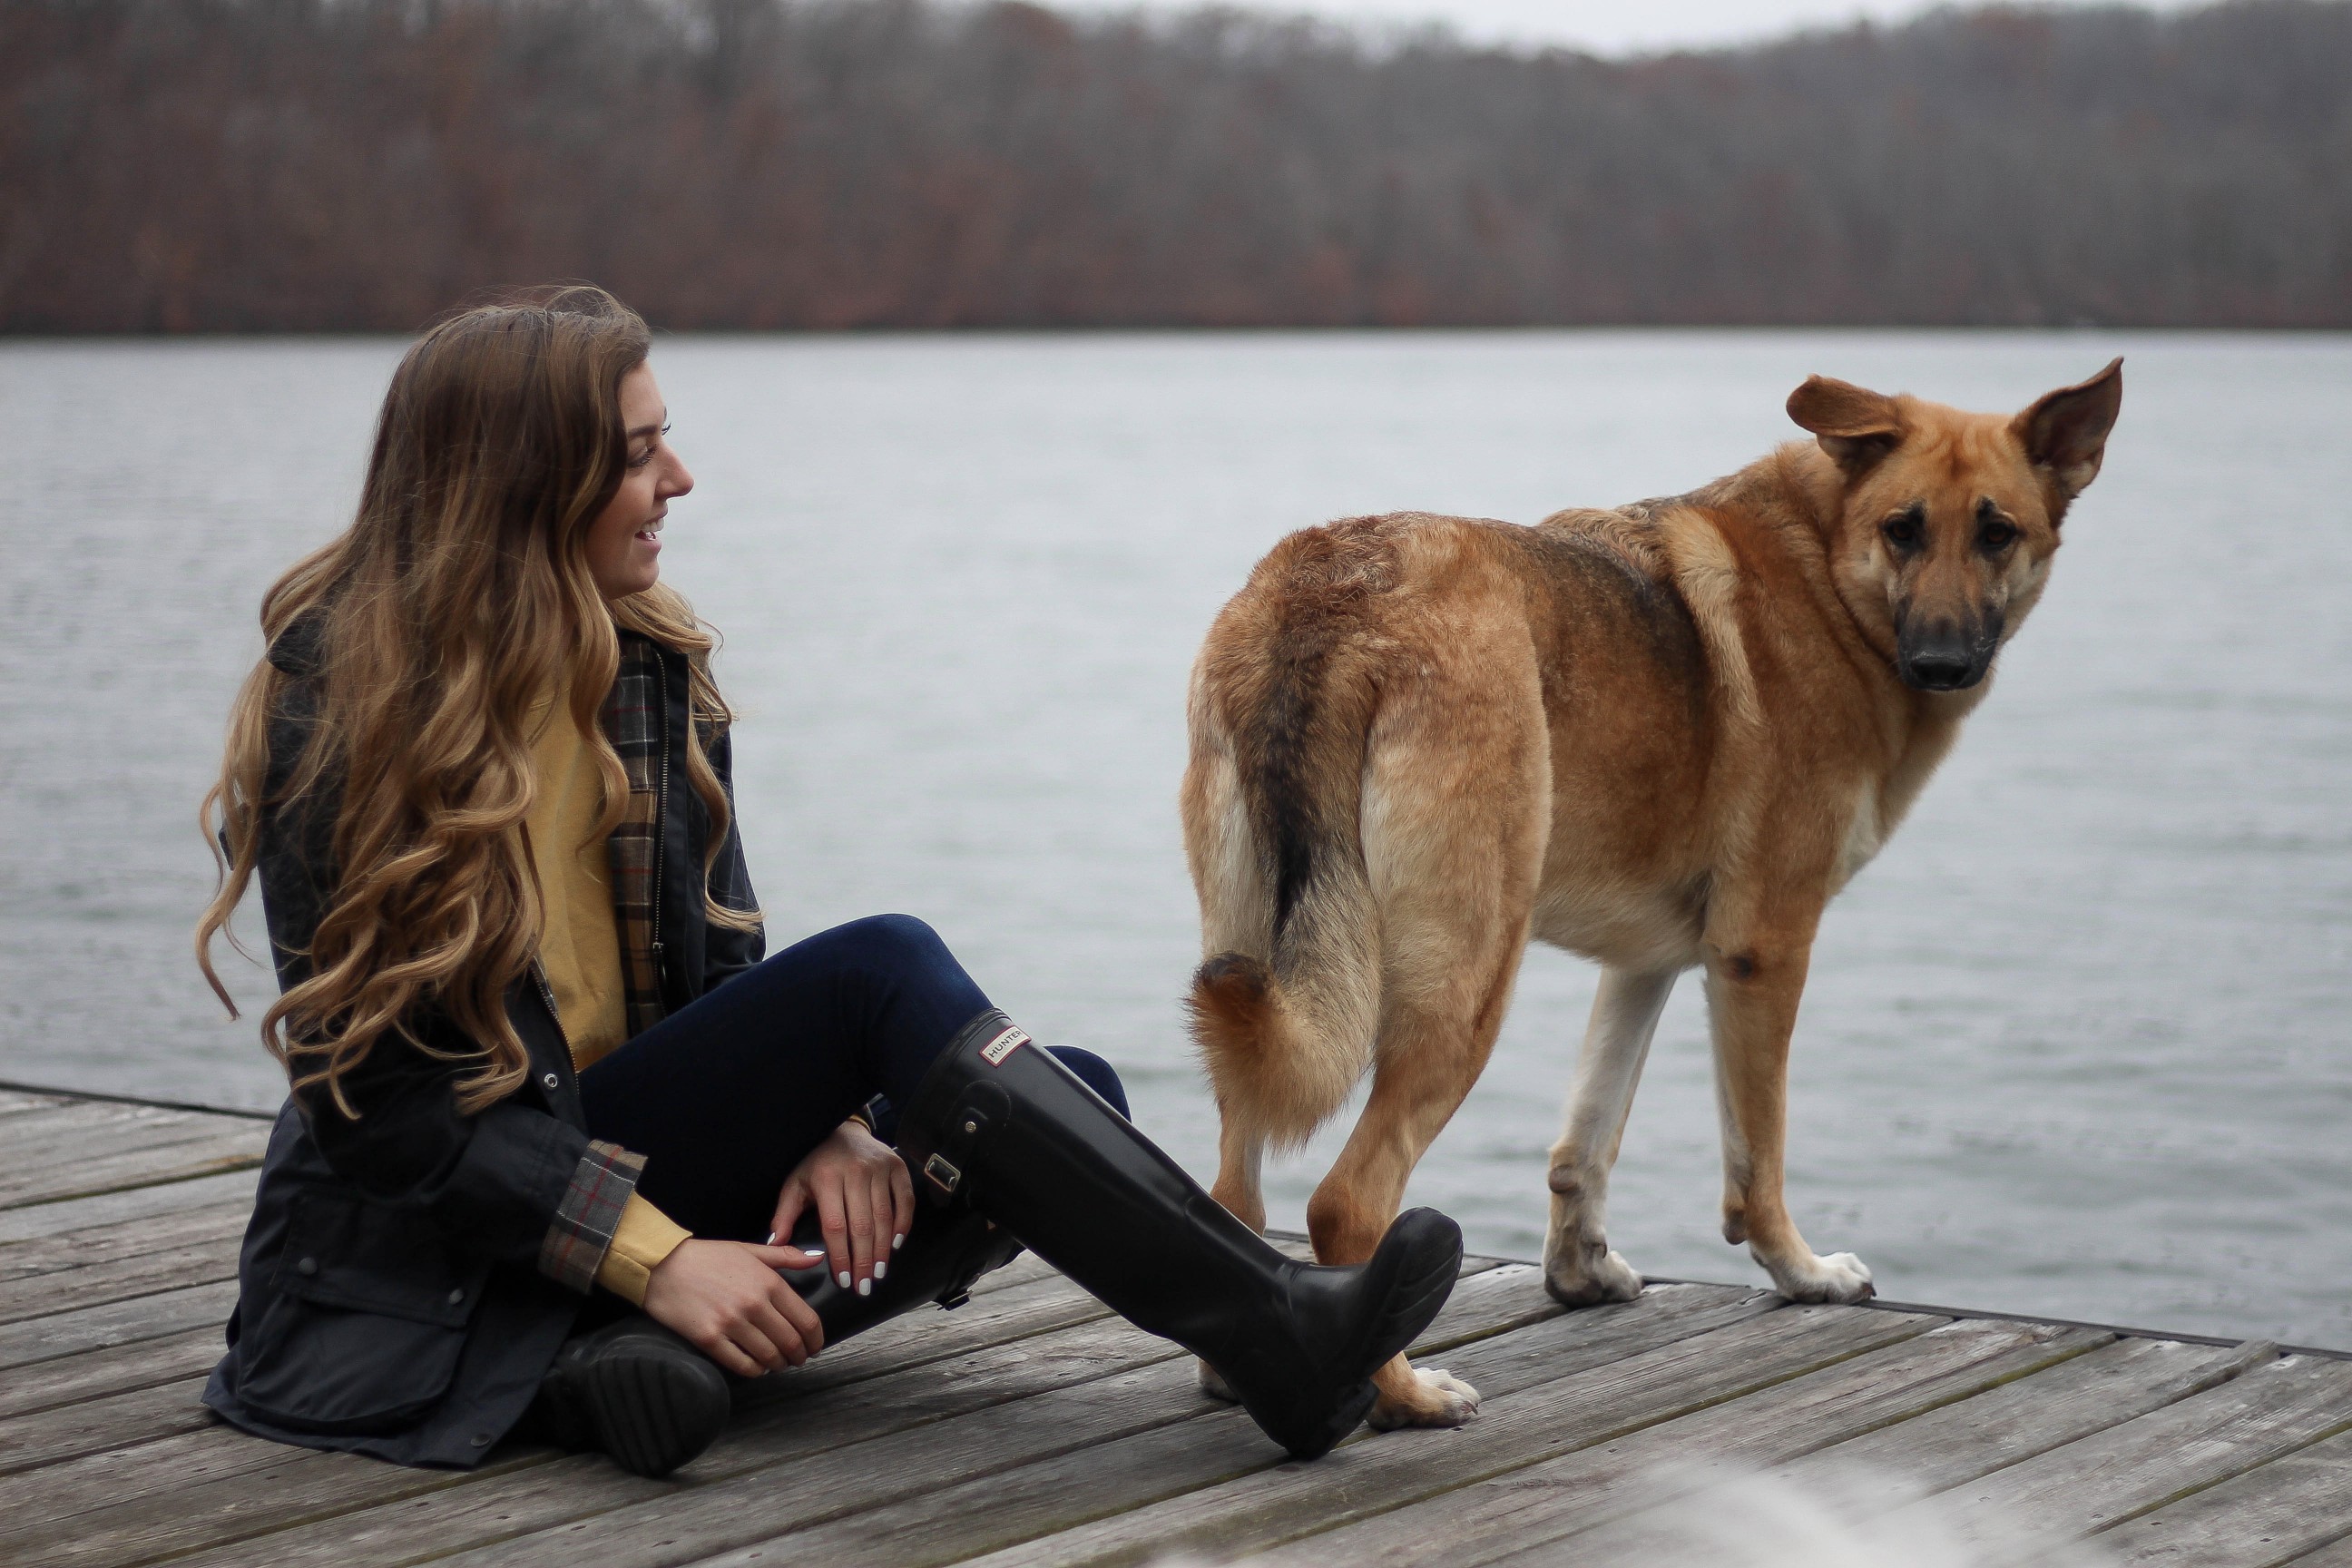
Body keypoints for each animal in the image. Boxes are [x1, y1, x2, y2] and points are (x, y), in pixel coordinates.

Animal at [1185, 361, 2126, 1429]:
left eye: (1997, 532)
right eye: (1904, 529)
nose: (1937, 664)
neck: (1825, 569)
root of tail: (1334, 596)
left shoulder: (1647, 961)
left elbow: (1587, 1138)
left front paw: (1581, 1274)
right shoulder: (1763, 950)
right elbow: (1758, 1157)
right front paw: (1805, 1275)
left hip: (1252, 966)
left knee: (1234, 1191)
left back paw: (1240, 1371)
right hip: (1463, 989)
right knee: (1348, 1202)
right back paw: (1403, 1395)